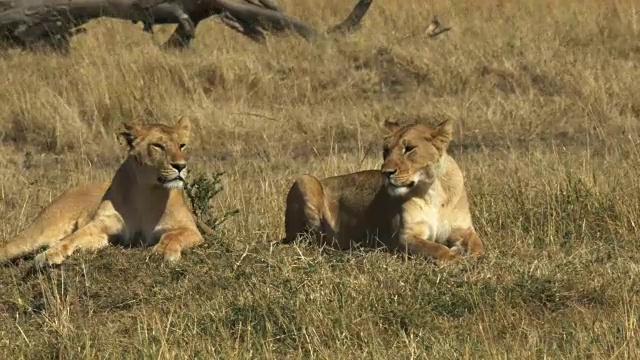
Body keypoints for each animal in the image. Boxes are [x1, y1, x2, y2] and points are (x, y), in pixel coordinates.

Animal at [0, 116, 204, 266]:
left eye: (182, 145)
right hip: (39, 233)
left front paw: (162, 251)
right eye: (158, 146)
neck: (146, 191)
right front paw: (49, 255)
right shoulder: (103, 227)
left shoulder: (190, 230)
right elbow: (72, 238)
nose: (181, 166)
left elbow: (172, 235)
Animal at [282, 119, 482, 262]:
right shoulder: (404, 237)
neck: (431, 190)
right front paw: (455, 257)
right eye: (386, 151)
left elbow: (478, 246)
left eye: (409, 149)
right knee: (314, 241)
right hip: (305, 180)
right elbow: (435, 248)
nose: (386, 172)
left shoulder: (463, 229)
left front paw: (468, 254)